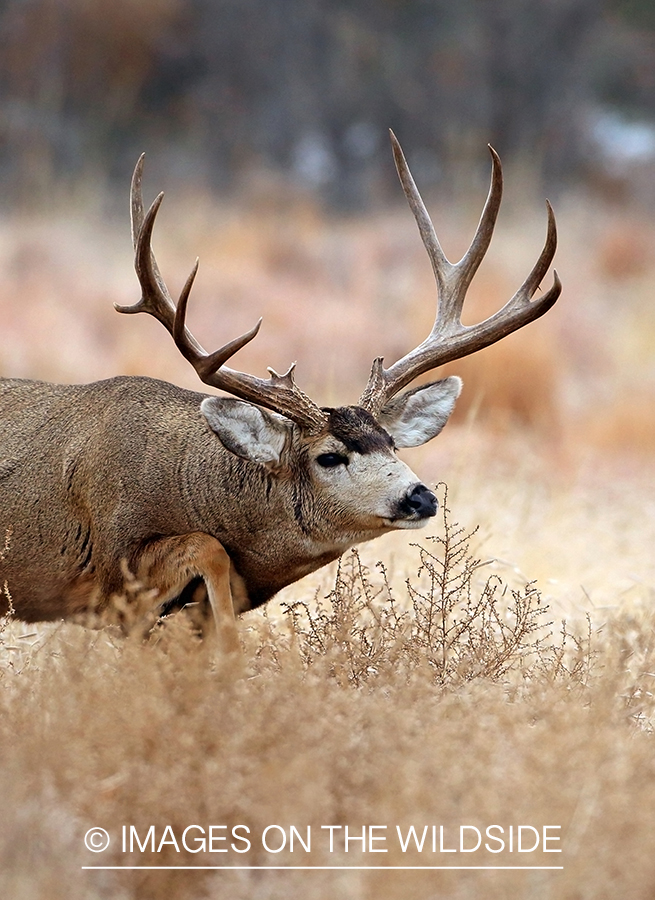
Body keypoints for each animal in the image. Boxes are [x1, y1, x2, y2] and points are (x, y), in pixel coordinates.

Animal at [0, 132, 560, 658]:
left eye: (391, 443)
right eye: (329, 457)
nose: (419, 496)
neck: (191, 482)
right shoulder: (113, 566)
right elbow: (208, 550)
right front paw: (230, 647)